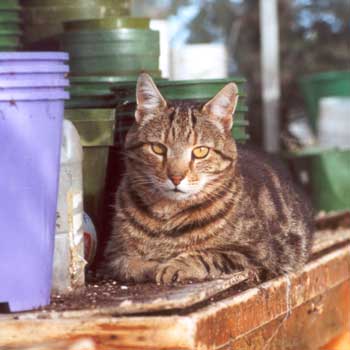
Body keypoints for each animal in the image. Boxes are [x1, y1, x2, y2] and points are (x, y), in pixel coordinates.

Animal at [104, 73, 314, 284]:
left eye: (201, 151)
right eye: (158, 148)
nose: (176, 177)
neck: (167, 215)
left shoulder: (258, 254)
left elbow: (210, 255)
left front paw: (173, 266)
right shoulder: (114, 254)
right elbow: (128, 263)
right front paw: (151, 264)